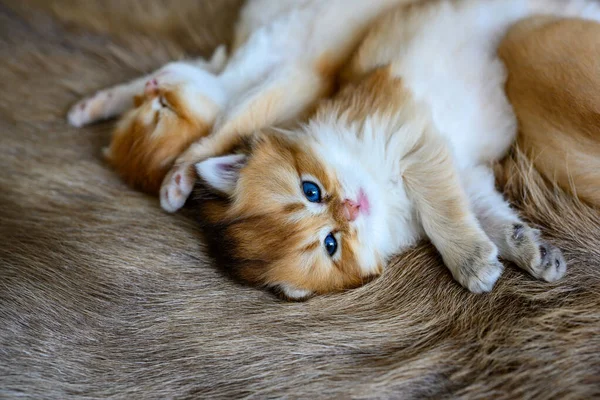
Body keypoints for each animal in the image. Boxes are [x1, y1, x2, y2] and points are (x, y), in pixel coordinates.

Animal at [67, 0, 412, 195]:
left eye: (164, 105)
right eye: (144, 103)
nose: (152, 86)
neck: (229, 75)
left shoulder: (293, 82)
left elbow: (230, 126)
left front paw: (183, 170)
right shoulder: (213, 65)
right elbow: (128, 89)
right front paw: (93, 106)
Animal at [184, 0, 600, 300]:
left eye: (311, 191)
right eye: (331, 244)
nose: (351, 208)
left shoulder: (409, 134)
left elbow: (439, 212)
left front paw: (470, 263)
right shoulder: (461, 170)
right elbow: (485, 214)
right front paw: (528, 250)